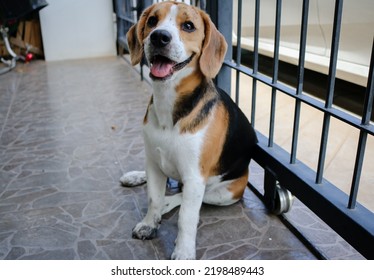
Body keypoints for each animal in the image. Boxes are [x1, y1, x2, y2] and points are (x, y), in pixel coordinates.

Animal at [120, 1, 258, 260]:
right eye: (152, 21)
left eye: (188, 26)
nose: (159, 37)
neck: (169, 106)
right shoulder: (155, 165)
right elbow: (153, 198)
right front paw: (149, 223)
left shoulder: (195, 177)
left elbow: (186, 216)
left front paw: (183, 252)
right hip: (155, 161)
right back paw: (137, 178)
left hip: (226, 193)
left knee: (186, 198)